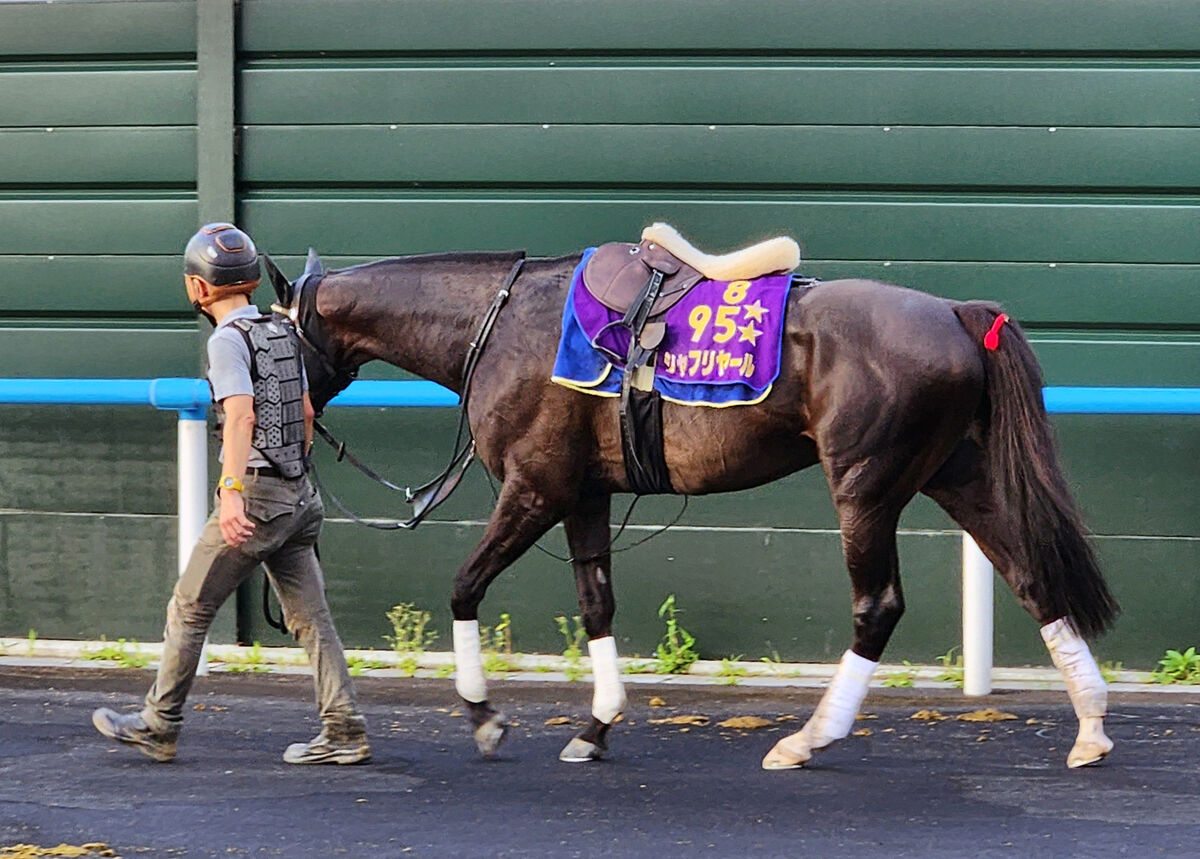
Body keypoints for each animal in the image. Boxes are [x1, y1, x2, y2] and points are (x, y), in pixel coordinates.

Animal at [267, 243, 1118, 772]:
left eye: (276, 337)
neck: (501, 323)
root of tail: (954, 311)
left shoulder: (535, 488)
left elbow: (464, 585)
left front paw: (484, 714)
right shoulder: (584, 494)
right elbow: (596, 603)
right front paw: (595, 726)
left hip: (866, 484)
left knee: (877, 605)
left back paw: (808, 738)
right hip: (954, 473)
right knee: (1030, 573)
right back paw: (1091, 728)